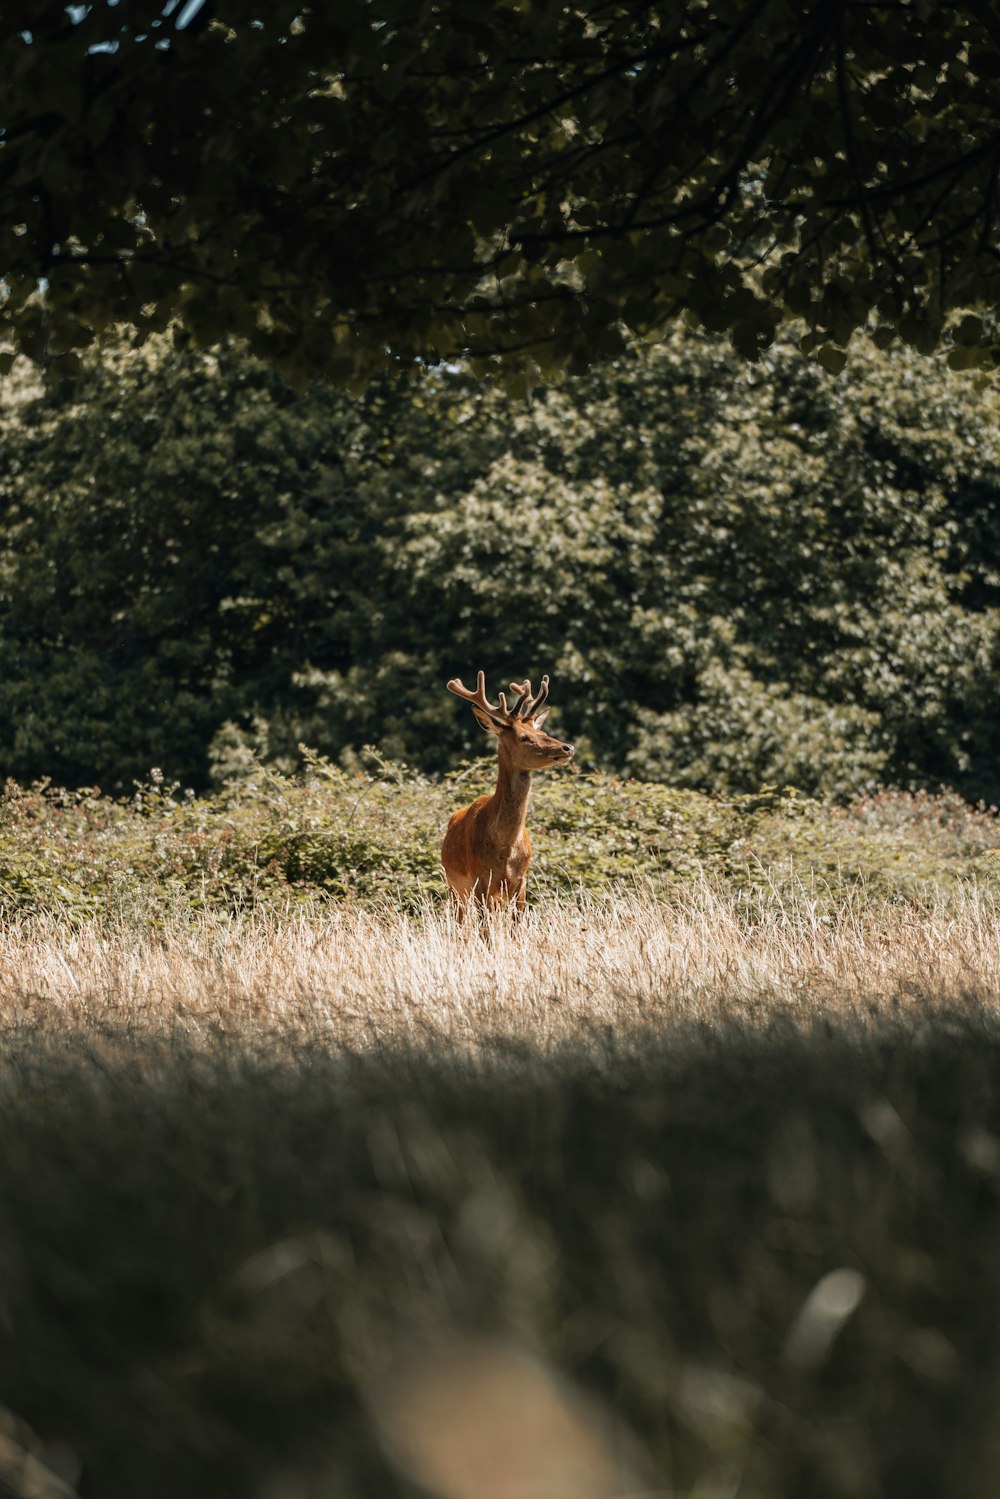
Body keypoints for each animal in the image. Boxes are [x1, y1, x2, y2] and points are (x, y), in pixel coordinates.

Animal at [440, 674, 575, 917]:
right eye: (524, 737)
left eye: (542, 732)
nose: (567, 747)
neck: (505, 847)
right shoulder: (479, 881)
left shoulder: (521, 882)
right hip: (454, 887)